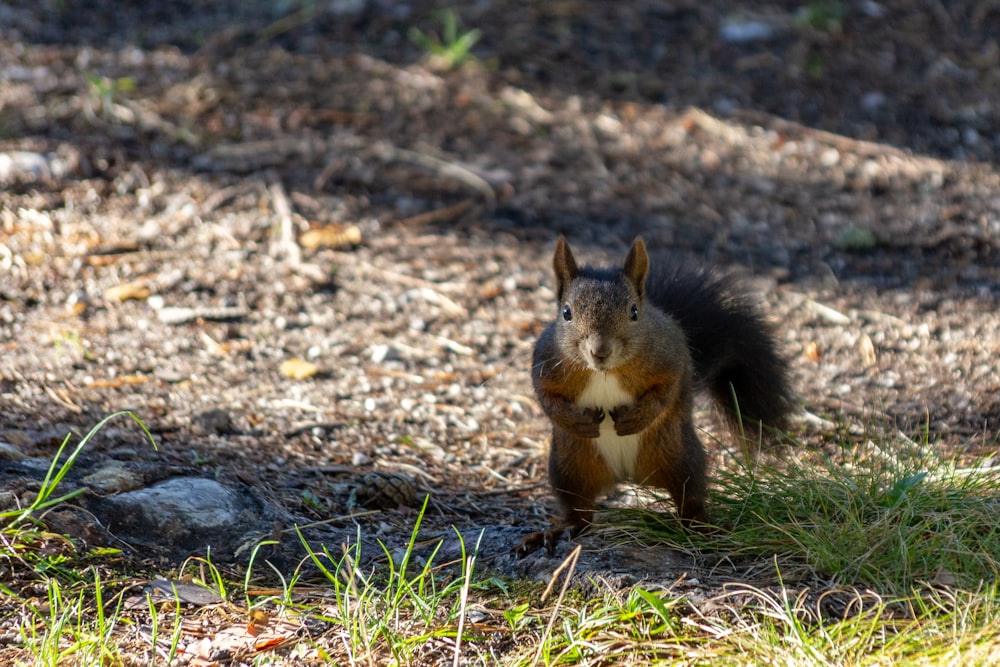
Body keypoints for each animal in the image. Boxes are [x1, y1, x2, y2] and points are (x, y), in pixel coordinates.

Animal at [520, 237, 792, 556]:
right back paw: (557, 531)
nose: (600, 351)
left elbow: (667, 390)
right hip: (568, 467)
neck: (604, 372)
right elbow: (547, 398)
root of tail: (626, 476)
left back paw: (702, 527)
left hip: (681, 456)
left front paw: (637, 418)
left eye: (634, 312)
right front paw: (577, 422)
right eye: (566, 313)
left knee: (690, 497)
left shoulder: (670, 357)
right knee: (579, 511)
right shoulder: (546, 362)